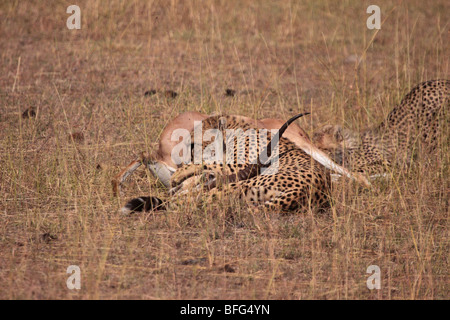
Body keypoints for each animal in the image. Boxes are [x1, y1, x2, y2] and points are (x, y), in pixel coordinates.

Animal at [118, 113, 370, 215]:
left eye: (196, 139)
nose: (186, 152)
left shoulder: (238, 166)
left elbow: (210, 167)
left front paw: (180, 177)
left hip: (243, 185)